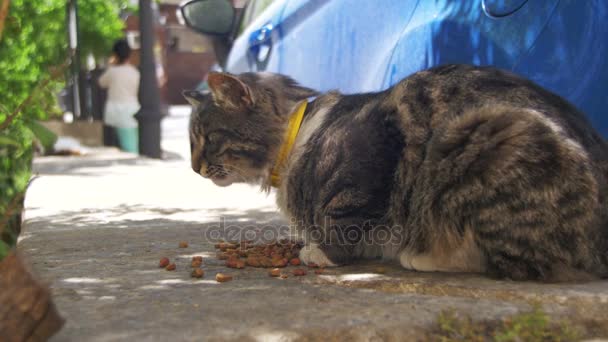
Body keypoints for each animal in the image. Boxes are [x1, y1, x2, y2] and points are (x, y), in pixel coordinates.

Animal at [184, 65, 608, 284]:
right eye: (192, 141)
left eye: (208, 138)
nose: (193, 167)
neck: (296, 138)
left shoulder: (367, 165)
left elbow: (343, 221)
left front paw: (321, 252)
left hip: (483, 137)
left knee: (521, 264)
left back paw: (424, 255)